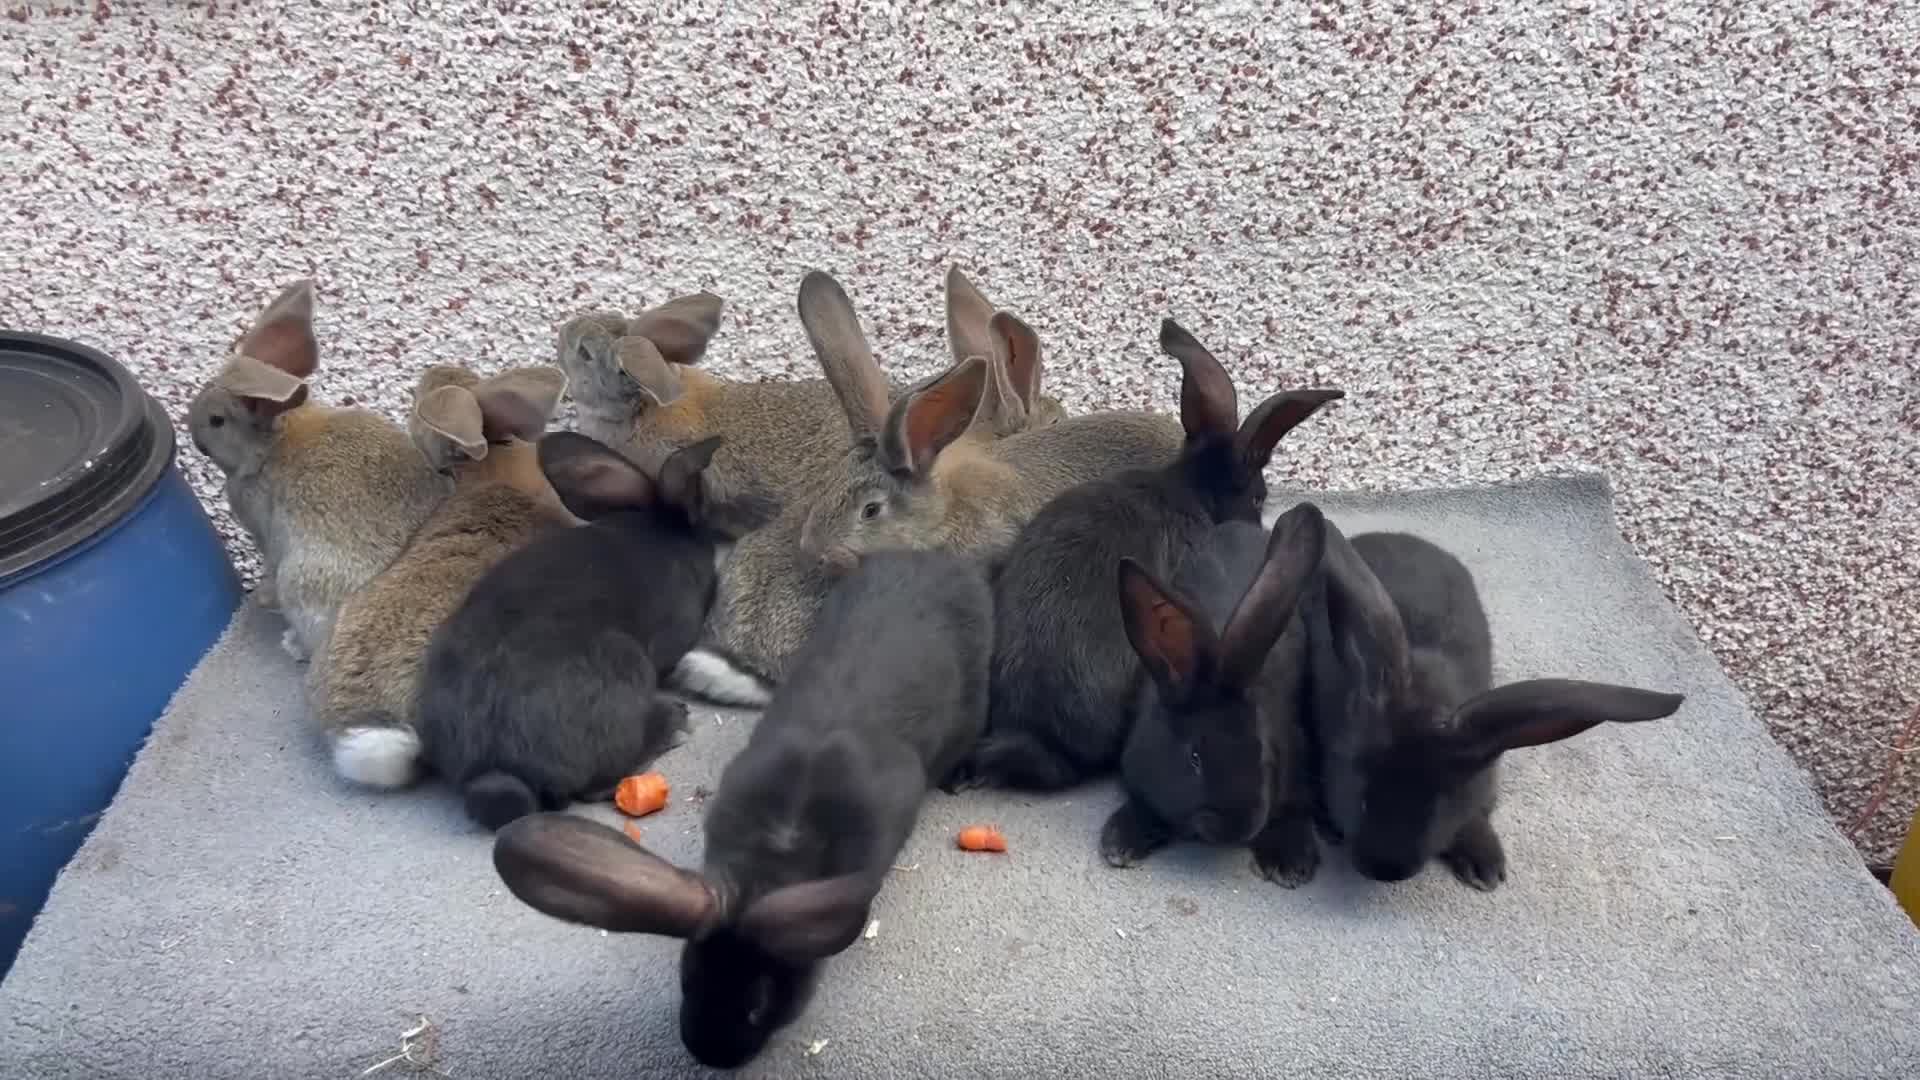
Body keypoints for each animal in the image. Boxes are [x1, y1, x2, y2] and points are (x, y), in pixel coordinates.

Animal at [186, 279, 450, 662]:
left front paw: (262, 597)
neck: (270, 446)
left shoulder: (266, 532)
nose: (192, 432)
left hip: (301, 580)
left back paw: (291, 644)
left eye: (217, 420)